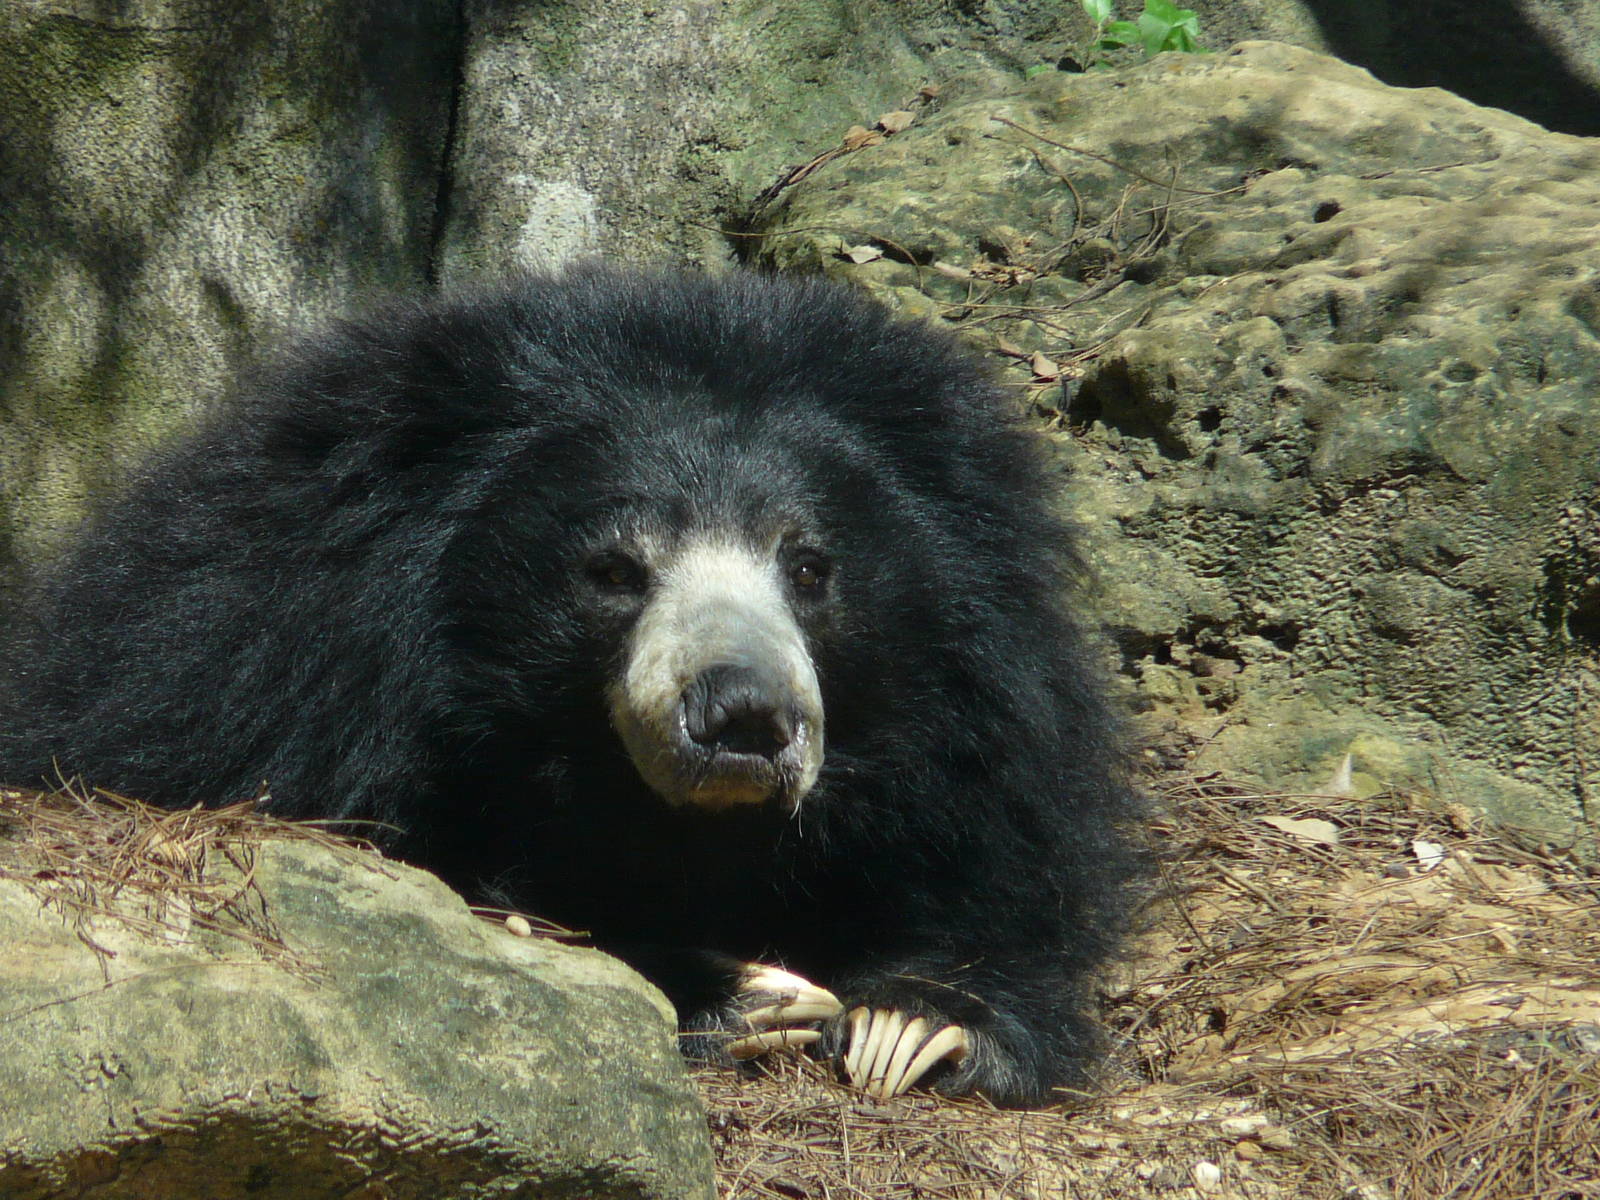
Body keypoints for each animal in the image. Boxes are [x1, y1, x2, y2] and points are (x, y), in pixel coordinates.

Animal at [0, 267, 1142, 1106]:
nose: (743, 719)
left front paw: (915, 1024)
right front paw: (744, 992)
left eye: (812, 567)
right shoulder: (261, 665)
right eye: (615, 570)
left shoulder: (981, 693)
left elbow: (988, 852)